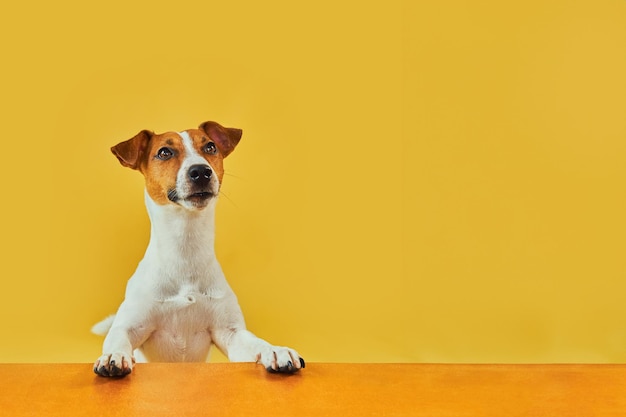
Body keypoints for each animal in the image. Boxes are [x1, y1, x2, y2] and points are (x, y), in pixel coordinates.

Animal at [92, 121, 304, 376]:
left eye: (210, 147)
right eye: (164, 152)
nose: (201, 171)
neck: (185, 246)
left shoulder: (230, 333)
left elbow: (255, 342)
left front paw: (275, 350)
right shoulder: (129, 326)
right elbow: (118, 338)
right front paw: (113, 356)